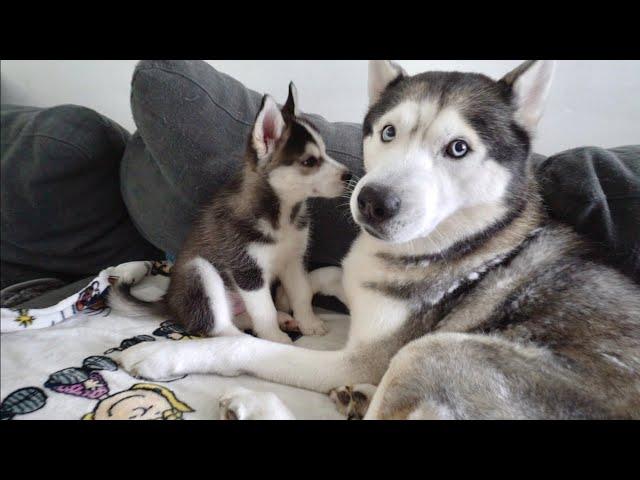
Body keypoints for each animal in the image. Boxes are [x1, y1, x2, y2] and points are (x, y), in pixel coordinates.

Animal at [109, 83, 350, 344]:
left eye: (325, 152)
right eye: (309, 161)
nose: (349, 176)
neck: (281, 214)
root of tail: (169, 302)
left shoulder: (293, 260)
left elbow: (302, 293)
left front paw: (310, 323)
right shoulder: (247, 271)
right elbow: (264, 309)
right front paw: (276, 338)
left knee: (241, 317)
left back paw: (283, 318)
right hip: (200, 272)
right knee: (220, 327)